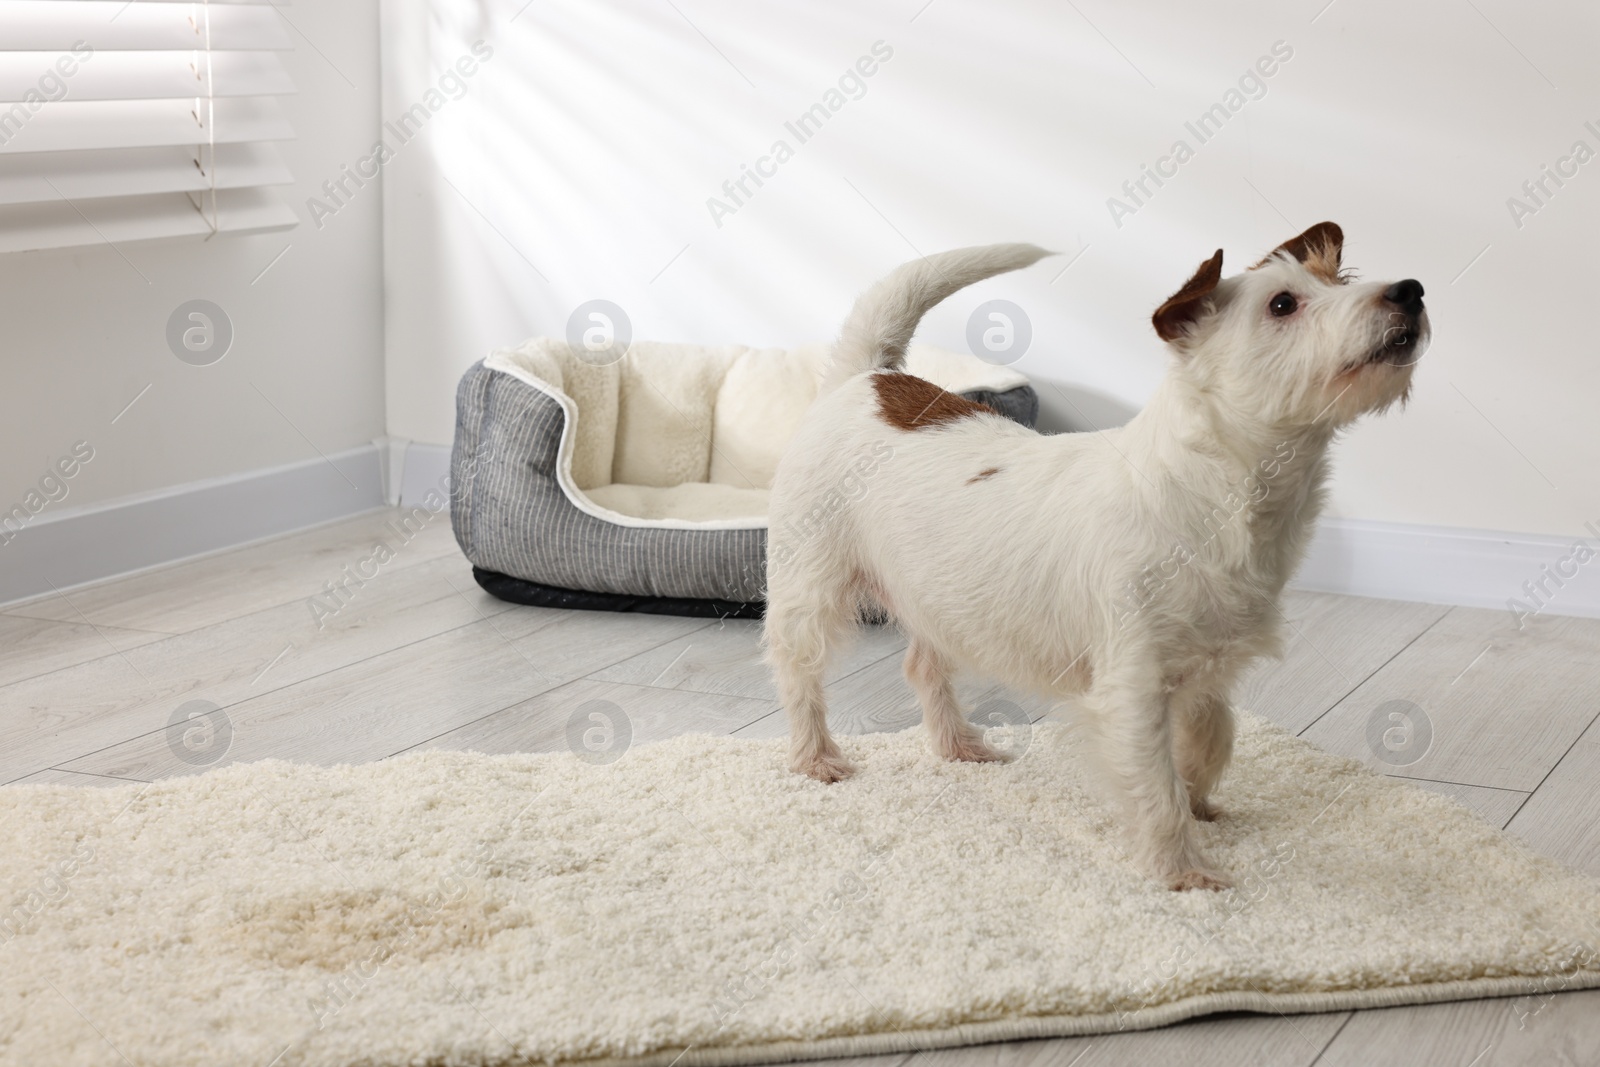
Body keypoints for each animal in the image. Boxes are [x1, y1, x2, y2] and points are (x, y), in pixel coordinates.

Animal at [758, 225, 1427, 895]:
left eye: (1339, 280)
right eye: (1283, 304)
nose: (1411, 290)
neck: (1220, 491)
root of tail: (868, 376)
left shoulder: (1209, 670)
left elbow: (1214, 741)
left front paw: (1201, 804)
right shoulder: (1133, 687)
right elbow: (1156, 786)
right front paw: (1183, 871)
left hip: (939, 600)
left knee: (922, 666)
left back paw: (958, 747)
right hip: (810, 590)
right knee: (797, 673)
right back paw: (816, 758)